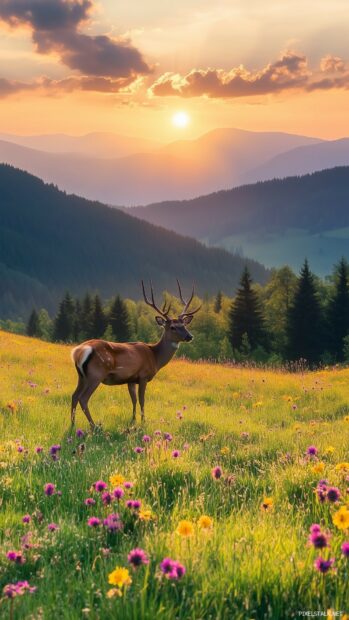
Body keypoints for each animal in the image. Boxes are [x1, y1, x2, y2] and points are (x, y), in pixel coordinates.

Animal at [70, 280, 201, 428]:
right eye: (172, 327)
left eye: (184, 325)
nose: (190, 336)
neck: (155, 357)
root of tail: (79, 351)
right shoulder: (143, 376)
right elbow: (142, 400)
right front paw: (143, 421)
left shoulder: (131, 379)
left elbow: (133, 400)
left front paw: (133, 420)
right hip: (96, 374)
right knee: (83, 398)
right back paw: (94, 426)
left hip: (82, 376)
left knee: (74, 396)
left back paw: (72, 424)